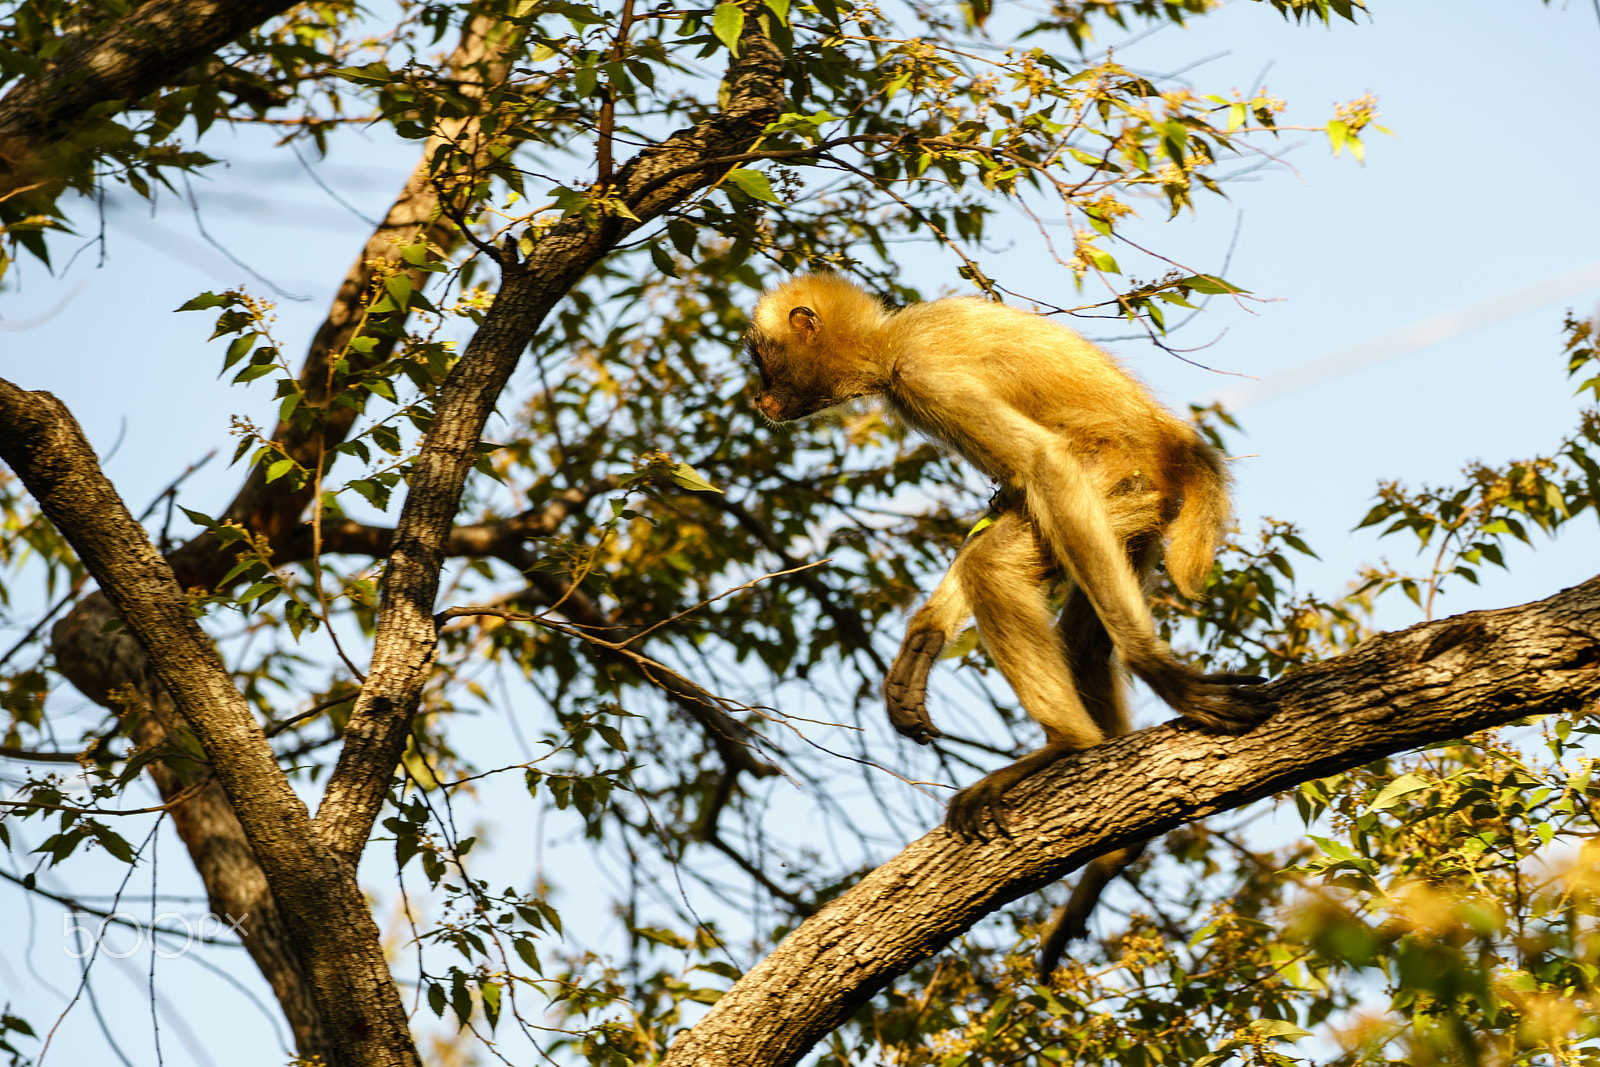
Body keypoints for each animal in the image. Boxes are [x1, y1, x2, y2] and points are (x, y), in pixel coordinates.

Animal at [746, 273, 1269, 973]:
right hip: (1131, 518)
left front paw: (1163, 674)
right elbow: (1010, 499)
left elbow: (1040, 466)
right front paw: (923, 639)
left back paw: (1068, 745)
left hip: (1115, 478)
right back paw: (1112, 851)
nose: (758, 396)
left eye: (762, 360)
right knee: (1077, 639)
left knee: (1001, 557)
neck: (888, 342)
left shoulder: (922, 373)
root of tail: (1172, 441)